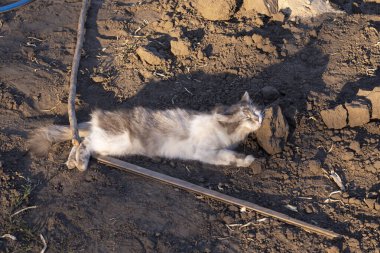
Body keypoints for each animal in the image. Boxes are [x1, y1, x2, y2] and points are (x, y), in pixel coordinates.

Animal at [29, 92, 262, 171]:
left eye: (257, 111)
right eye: (248, 116)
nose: (260, 118)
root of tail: (98, 118)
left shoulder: (212, 153)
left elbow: (229, 157)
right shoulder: (206, 152)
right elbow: (229, 156)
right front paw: (248, 160)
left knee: (77, 142)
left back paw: (72, 161)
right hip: (114, 141)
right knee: (85, 143)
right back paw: (80, 163)